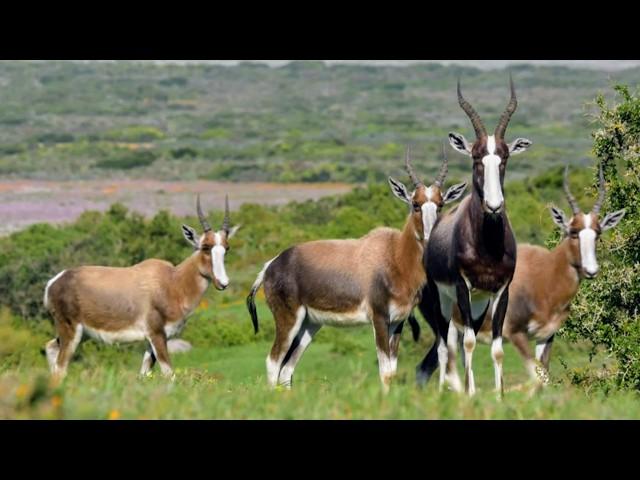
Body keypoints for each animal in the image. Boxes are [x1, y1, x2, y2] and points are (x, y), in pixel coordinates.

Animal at [42, 194, 240, 378]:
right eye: (205, 247)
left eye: (226, 248)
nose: (223, 283)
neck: (172, 281)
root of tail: (55, 281)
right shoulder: (157, 335)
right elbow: (169, 374)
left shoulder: (150, 341)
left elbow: (144, 375)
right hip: (71, 331)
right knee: (60, 367)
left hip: (79, 334)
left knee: (51, 348)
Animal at [245, 149, 464, 390]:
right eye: (415, 204)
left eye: (440, 204)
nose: (430, 237)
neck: (394, 256)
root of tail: (270, 265)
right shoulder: (379, 319)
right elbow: (384, 371)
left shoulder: (398, 322)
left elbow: (392, 370)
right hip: (289, 320)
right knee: (273, 361)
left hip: (309, 325)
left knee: (287, 368)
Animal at [418, 76, 532, 398]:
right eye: (476, 157)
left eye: (504, 158)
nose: (494, 206)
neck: (487, 246)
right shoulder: (461, 287)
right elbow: (467, 341)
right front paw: (470, 394)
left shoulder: (501, 291)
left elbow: (497, 347)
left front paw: (500, 395)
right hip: (442, 300)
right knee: (445, 345)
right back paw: (446, 391)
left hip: (480, 303)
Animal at [424, 164, 624, 386]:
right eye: (573, 231)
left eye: (597, 233)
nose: (591, 270)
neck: (545, 274)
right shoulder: (515, 334)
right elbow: (536, 377)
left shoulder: (545, 336)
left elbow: (543, 378)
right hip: (448, 326)